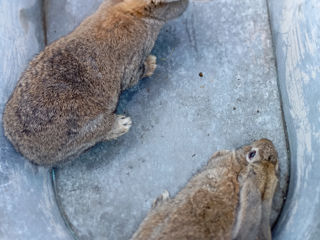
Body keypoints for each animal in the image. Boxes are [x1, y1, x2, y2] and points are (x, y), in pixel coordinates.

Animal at [1, 0, 188, 166]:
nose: (187, 5)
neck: (132, 13)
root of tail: (25, 151)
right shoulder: (132, 64)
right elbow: (135, 76)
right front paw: (151, 64)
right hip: (87, 129)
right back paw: (122, 124)